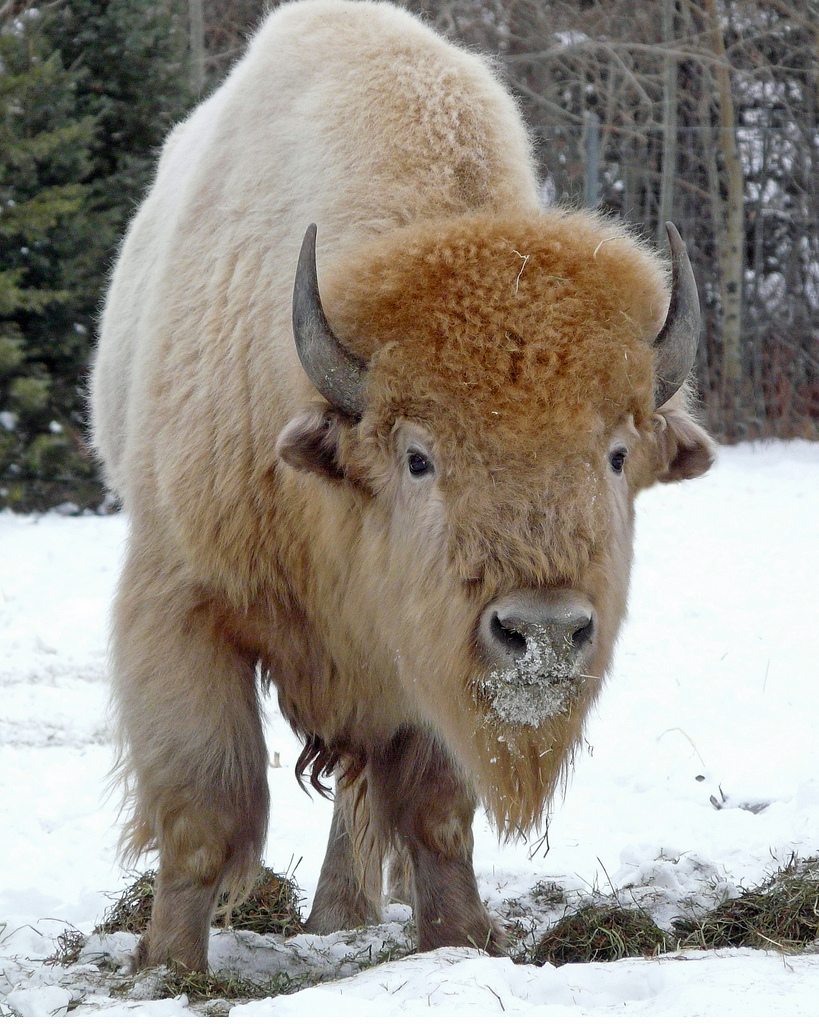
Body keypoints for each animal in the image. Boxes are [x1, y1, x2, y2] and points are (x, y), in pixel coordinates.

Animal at [91, 0, 714, 971]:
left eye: (616, 455)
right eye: (418, 458)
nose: (543, 632)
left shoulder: (427, 663)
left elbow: (433, 813)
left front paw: (457, 940)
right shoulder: (181, 604)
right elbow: (204, 809)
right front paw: (166, 965)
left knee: (357, 802)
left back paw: (342, 913)